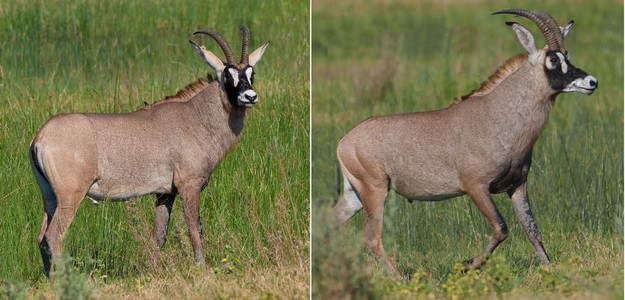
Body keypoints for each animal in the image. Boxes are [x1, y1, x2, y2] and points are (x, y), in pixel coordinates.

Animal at [29, 25, 268, 276]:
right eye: (228, 75)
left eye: (251, 73)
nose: (250, 97)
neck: (196, 116)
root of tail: (41, 136)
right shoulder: (189, 187)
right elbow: (195, 230)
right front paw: (202, 268)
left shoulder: (165, 194)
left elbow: (159, 235)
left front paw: (155, 272)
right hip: (70, 196)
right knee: (53, 236)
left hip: (50, 197)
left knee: (41, 237)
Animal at [334, 9, 596, 276]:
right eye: (552, 59)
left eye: (567, 55)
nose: (591, 82)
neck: (497, 115)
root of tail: (345, 141)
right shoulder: (476, 187)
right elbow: (501, 228)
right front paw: (467, 265)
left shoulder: (517, 185)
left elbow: (532, 230)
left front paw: (550, 269)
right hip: (375, 190)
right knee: (371, 238)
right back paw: (401, 279)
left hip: (356, 195)